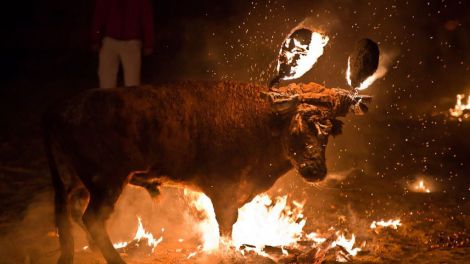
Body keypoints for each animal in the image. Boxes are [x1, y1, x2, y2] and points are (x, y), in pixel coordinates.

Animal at [42, 81, 370, 262]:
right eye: (297, 129)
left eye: (327, 133)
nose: (316, 169)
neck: (259, 121)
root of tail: (62, 109)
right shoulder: (222, 190)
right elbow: (226, 224)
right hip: (106, 183)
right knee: (92, 218)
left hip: (76, 183)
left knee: (71, 215)